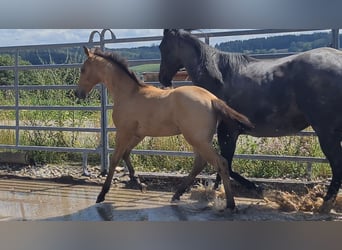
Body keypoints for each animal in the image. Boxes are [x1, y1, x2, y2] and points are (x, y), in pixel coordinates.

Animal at [75, 46, 254, 209]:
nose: (78, 93)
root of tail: (212, 99)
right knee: (200, 162)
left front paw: (102, 195)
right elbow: (126, 154)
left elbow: (114, 159)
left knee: (220, 163)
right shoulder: (138, 134)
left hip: (197, 139)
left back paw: (230, 204)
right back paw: (177, 194)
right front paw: (139, 183)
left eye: (83, 69)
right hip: (198, 139)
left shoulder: (123, 132)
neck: (129, 94)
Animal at [158, 28, 342, 213]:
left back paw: (325, 205)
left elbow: (226, 164)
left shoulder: (227, 131)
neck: (220, 77)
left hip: (326, 132)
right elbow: (224, 165)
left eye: (162, 47)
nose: (162, 78)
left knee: (337, 165)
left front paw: (258, 191)